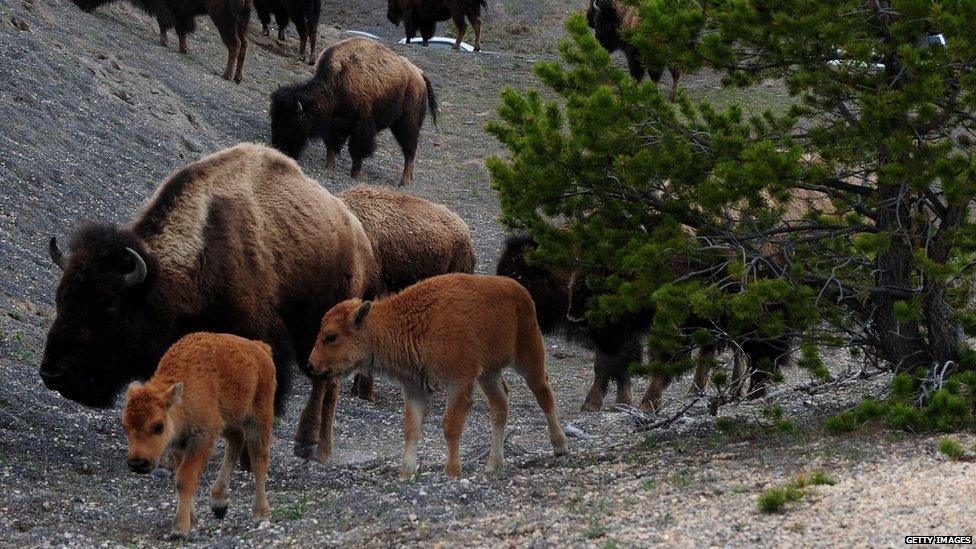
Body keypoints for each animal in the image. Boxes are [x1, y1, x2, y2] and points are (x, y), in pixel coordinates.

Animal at [69, 0, 252, 82]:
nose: (80, 6)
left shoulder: (165, 7)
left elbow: (164, 23)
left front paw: (163, 42)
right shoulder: (181, 13)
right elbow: (180, 31)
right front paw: (182, 49)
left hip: (224, 19)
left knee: (234, 44)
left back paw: (227, 75)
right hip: (242, 22)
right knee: (244, 45)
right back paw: (238, 77)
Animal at [123, 332, 274, 536]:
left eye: (158, 426)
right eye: (124, 426)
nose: (137, 463)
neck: (182, 398)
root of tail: (260, 348)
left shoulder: (202, 437)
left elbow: (185, 478)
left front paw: (179, 528)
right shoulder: (178, 443)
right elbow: (181, 477)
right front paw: (192, 520)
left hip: (259, 418)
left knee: (259, 460)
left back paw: (261, 513)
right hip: (228, 421)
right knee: (236, 440)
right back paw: (219, 502)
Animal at [266, 37, 434, 186]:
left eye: (290, 121)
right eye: (274, 116)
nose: (277, 145)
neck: (337, 83)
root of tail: (420, 77)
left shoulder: (360, 125)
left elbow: (356, 150)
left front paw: (355, 174)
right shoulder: (336, 123)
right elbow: (331, 145)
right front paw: (329, 167)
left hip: (406, 124)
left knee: (410, 150)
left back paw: (403, 182)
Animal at [304, 272, 564, 478]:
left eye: (331, 336)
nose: (311, 365)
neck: (411, 323)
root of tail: (519, 290)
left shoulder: (458, 384)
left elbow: (450, 425)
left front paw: (452, 471)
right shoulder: (414, 388)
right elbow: (411, 427)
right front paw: (406, 473)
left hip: (528, 357)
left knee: (544, 394)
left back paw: (560, 446)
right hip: (488, 374)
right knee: (500, 405)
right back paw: (493, 464)